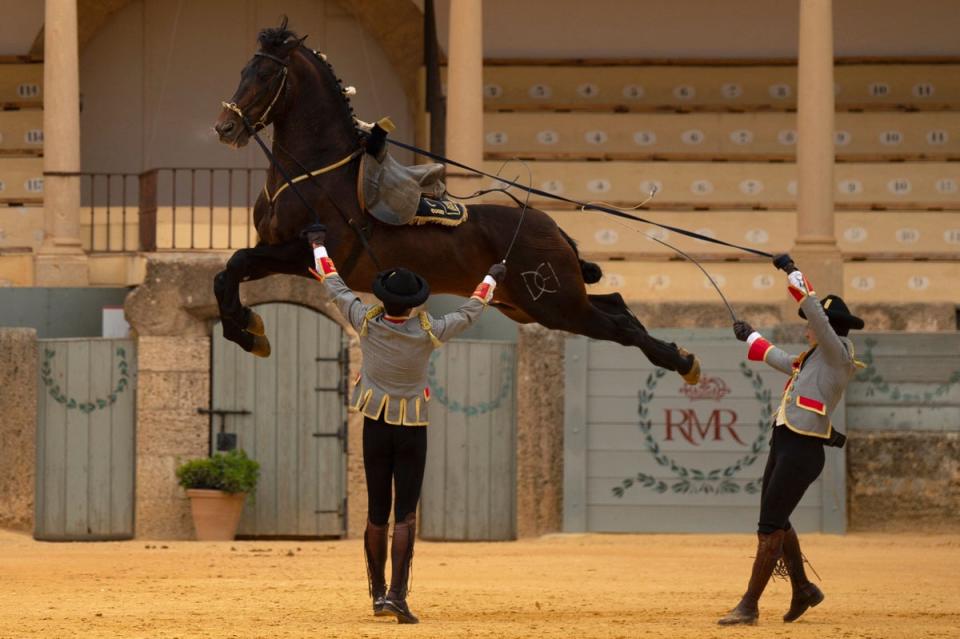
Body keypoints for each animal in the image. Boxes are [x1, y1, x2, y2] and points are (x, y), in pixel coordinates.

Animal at [214, 21, 700, 384]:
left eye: (264, 75)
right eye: (241, 71)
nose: (224, 127)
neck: (317, 172)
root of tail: (550, 225)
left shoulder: (304, 253)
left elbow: (234, 263)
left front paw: (248, 329)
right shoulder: (280, 252)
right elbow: (226, 274)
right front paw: (248, 330)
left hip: (557, 305)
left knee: (619, 325)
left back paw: (681, 361)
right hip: (534, 306)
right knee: (616, 304)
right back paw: (676, 355)